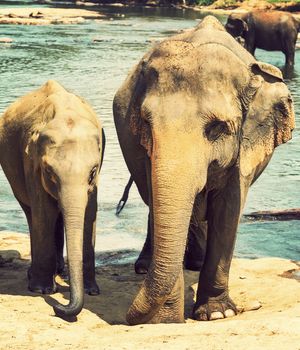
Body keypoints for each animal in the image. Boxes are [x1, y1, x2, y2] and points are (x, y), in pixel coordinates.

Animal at [0, 80, 105, 318]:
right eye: (50, 172)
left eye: (93, 172)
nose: (59, 307)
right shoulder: (32, 163)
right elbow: (44, 212)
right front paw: (43, 290)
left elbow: (89, 213)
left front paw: (92, 290)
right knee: (32, 214)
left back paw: (59, 271)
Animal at [113, 15, 294, 324]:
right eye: (147, 124)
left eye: (217, 128)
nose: (127, 317)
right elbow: (159, 198)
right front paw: (166, 319)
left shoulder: (245, 149)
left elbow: (229, 209)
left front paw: (218, 313)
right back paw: (147, 266)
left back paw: (195, 264)